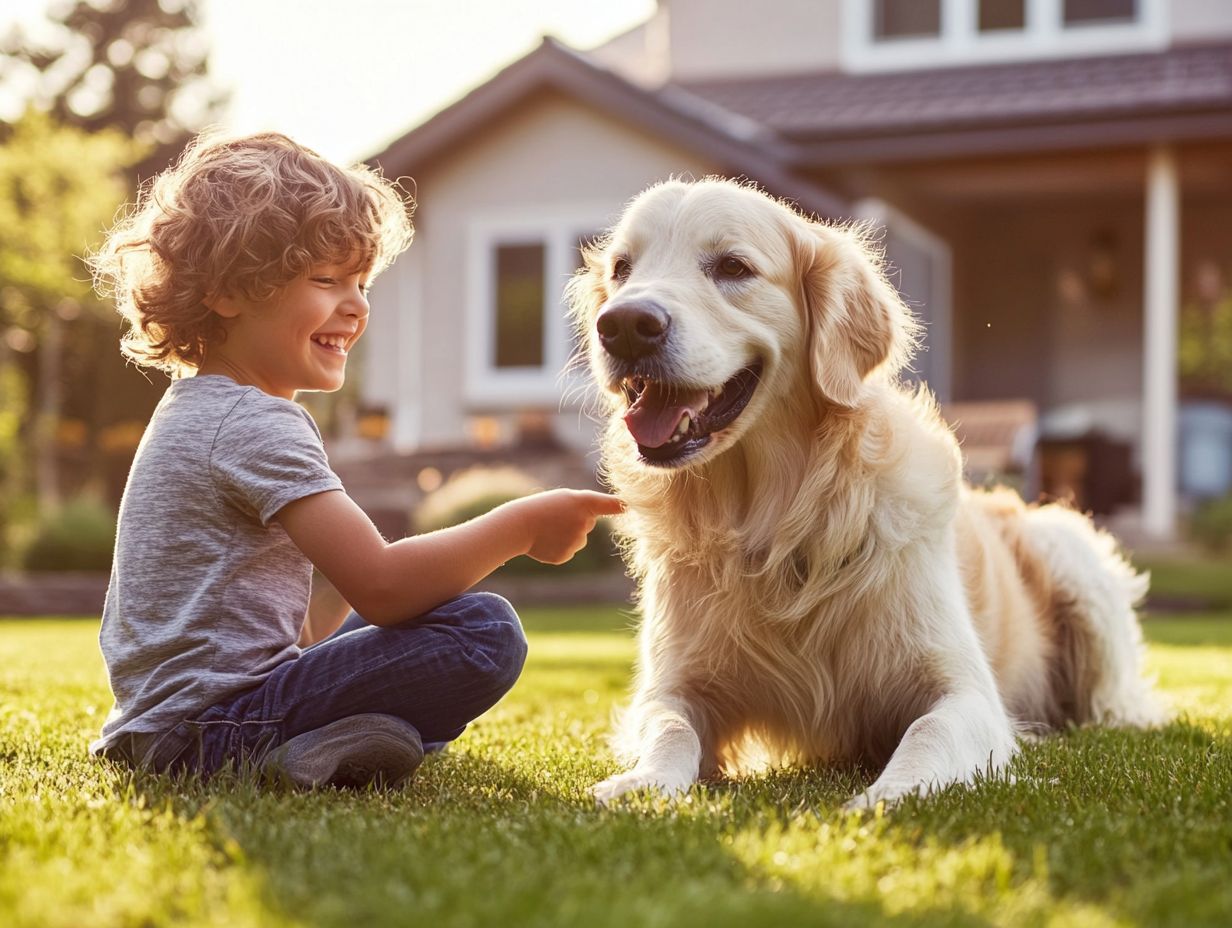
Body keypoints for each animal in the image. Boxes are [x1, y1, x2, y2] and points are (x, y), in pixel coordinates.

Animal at [569, 177, 1163, 808]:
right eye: (623, 268)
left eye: (732, 266)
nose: (623, 327)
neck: (775, 521)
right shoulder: (671, 686)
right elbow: (670, 728)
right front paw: (643, 782)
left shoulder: (966, 691)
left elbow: (929, 731)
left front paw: (887, 796)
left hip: (1069, 556)